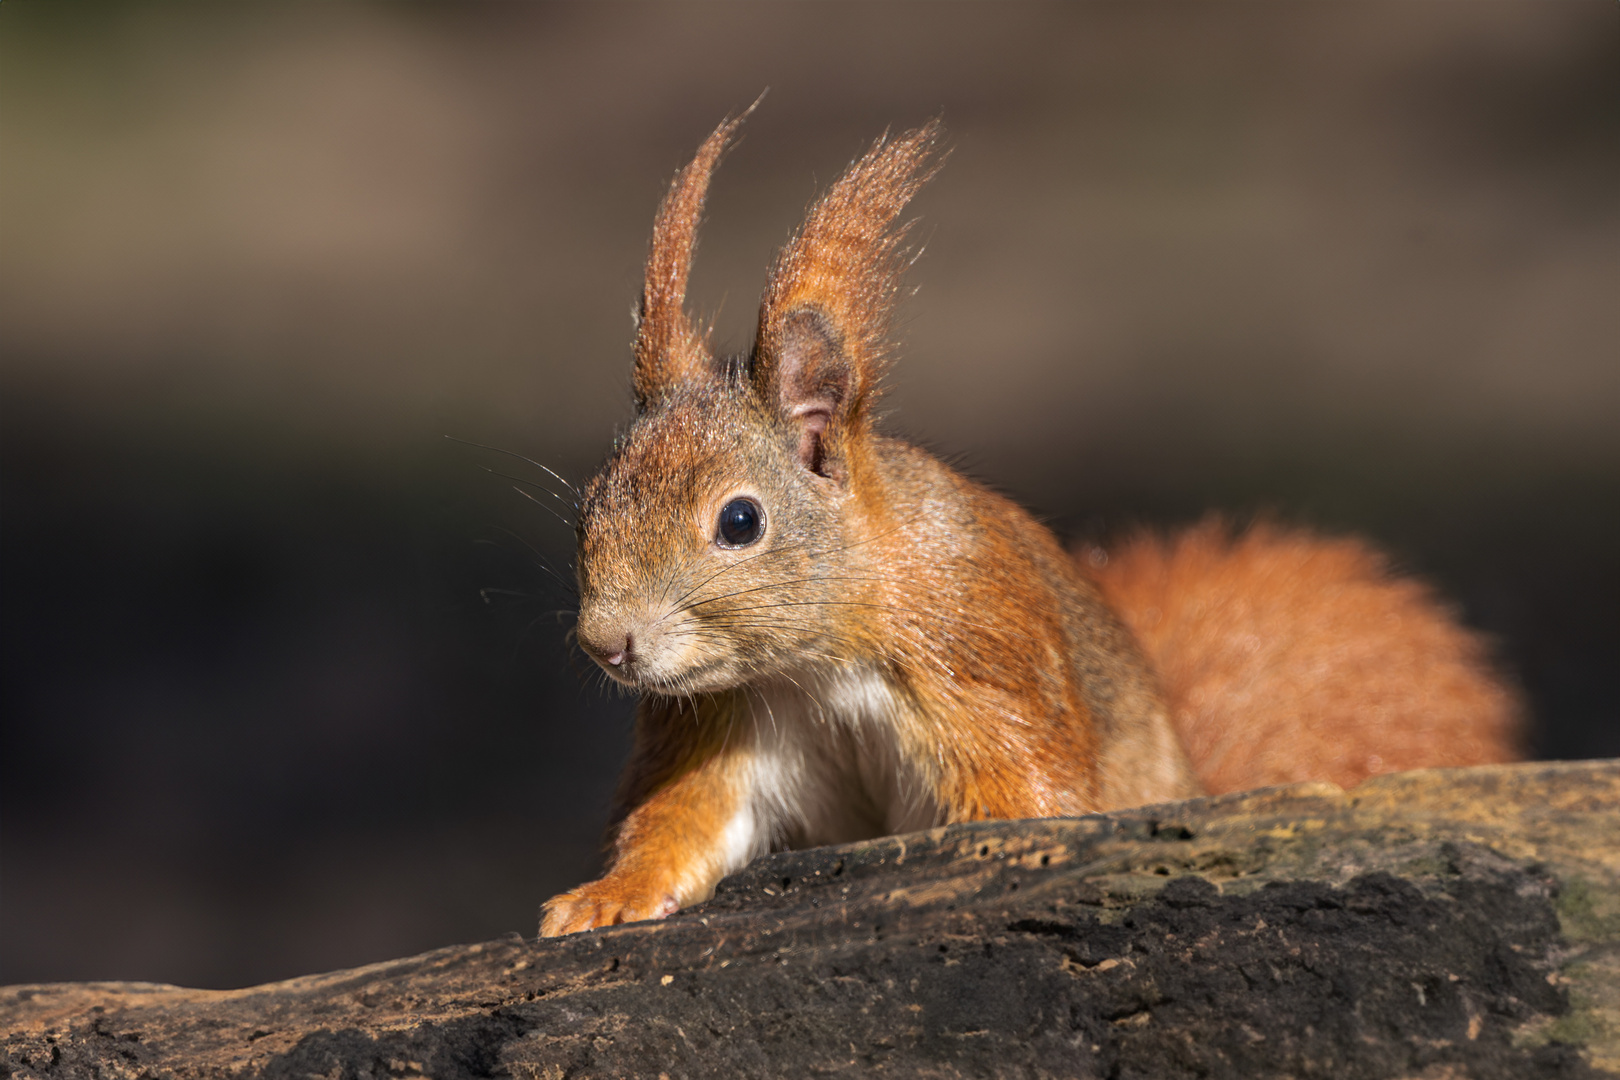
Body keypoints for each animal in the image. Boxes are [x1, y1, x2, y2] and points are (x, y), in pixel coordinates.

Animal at [537, 111, 1522, 939]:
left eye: (740, 521)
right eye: (591, 503)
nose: (606, 642)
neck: (817, 664)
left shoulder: (981, 659)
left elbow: (1029, 803)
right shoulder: (727, 719)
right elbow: (685, 817)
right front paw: (607, 898)